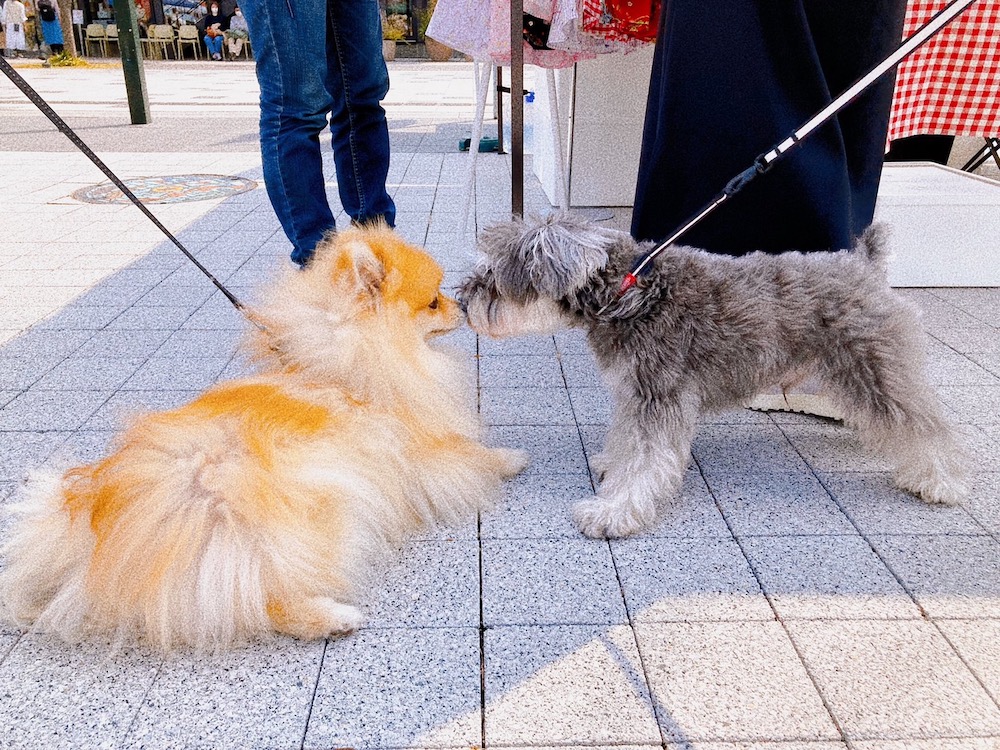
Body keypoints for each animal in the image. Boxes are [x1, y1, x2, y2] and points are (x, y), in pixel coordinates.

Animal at [0, 223, 528, 652]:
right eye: (433, 301)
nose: (462, 304)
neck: (349, 364)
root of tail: (90, 521)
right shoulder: (420, 447)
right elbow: (468, 453)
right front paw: (510, 458)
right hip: (306, 510)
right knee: (260, 595)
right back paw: (331, 616)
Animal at [460, 213, 968, 540]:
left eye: (493, 276)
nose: (463, 302)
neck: (629, 294)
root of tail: (865, 265)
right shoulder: (635, 394)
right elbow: (628, 441)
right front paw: (612, 465)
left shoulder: (659, 397)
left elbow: (647, 462)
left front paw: (613, 512)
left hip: (877, 368)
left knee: (926, 426)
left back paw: (941, 481)